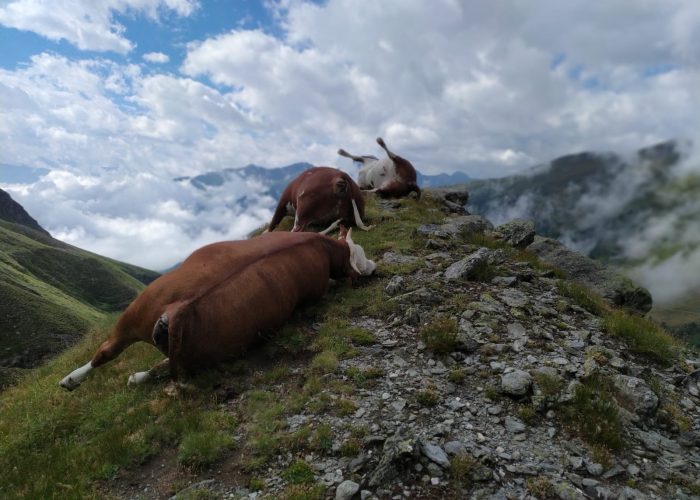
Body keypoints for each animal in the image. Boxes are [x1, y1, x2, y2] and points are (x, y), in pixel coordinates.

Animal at [58, 229, 378, 390]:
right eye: (361, 257)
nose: (374, 269)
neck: (320, 245)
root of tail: (180, 308)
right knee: (113, 354)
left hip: (144, 319)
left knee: (110, 352)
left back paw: (78, 379)